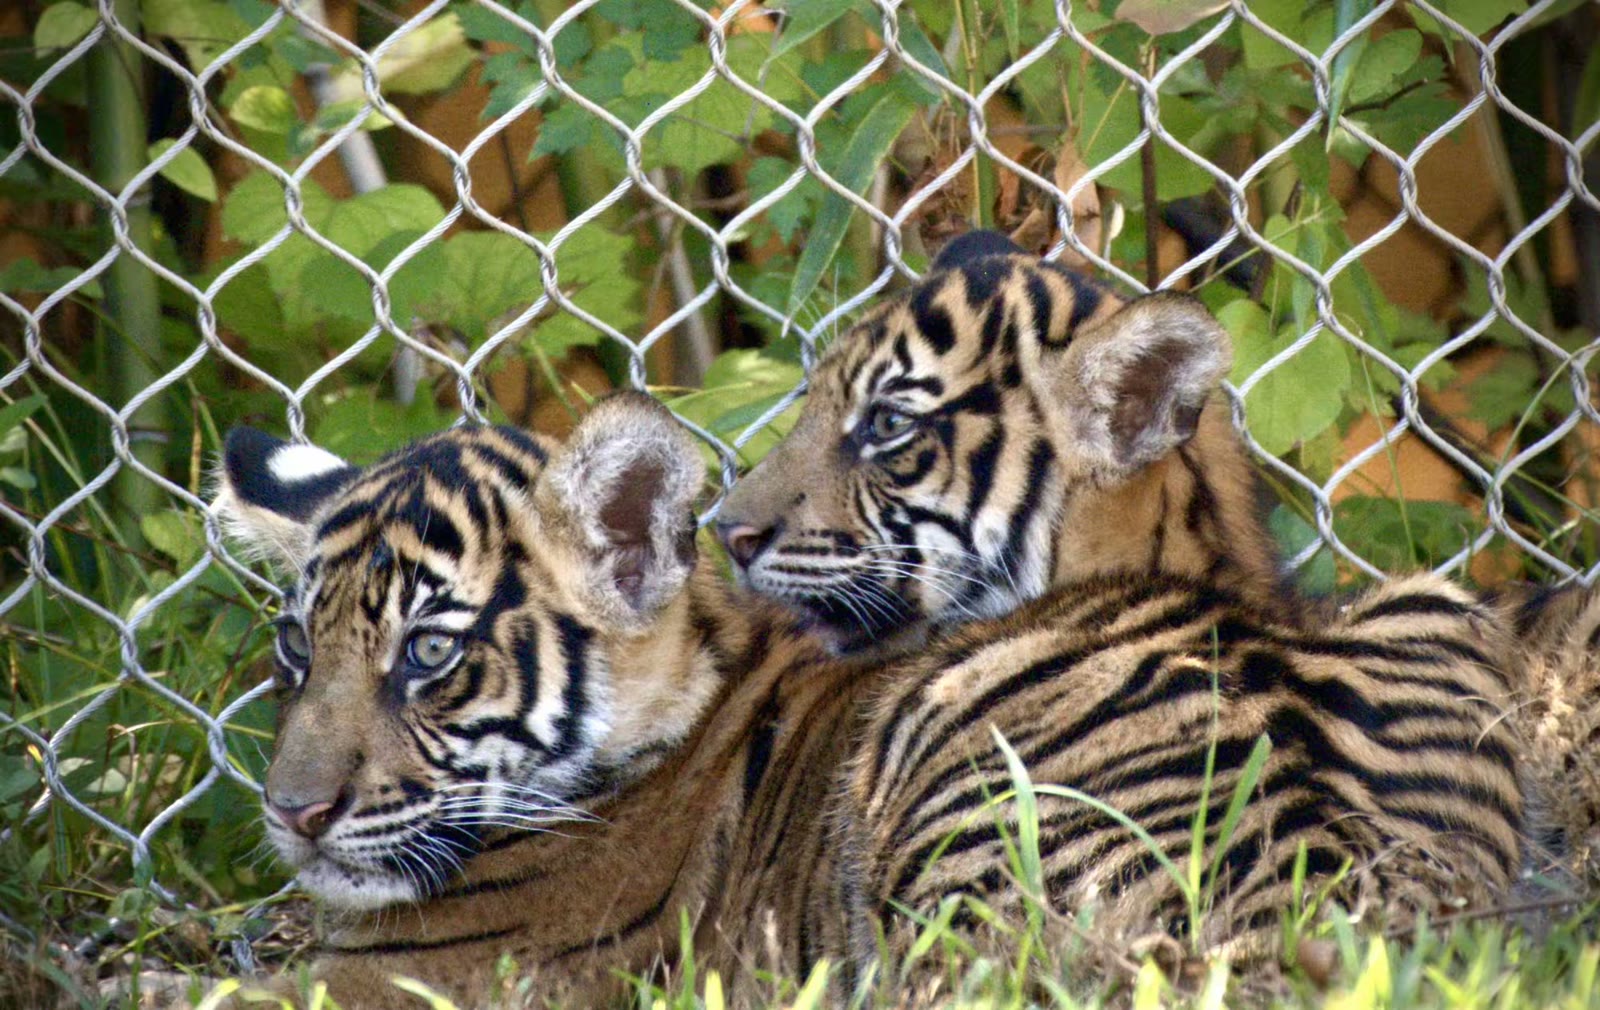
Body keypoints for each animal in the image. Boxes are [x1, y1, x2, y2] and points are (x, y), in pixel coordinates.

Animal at [205, 389, 1524, 1008]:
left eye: (428, 653)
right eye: (295, 648)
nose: (291, 813)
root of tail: (1335, 891)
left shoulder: (431, 975)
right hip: (1433, 604)